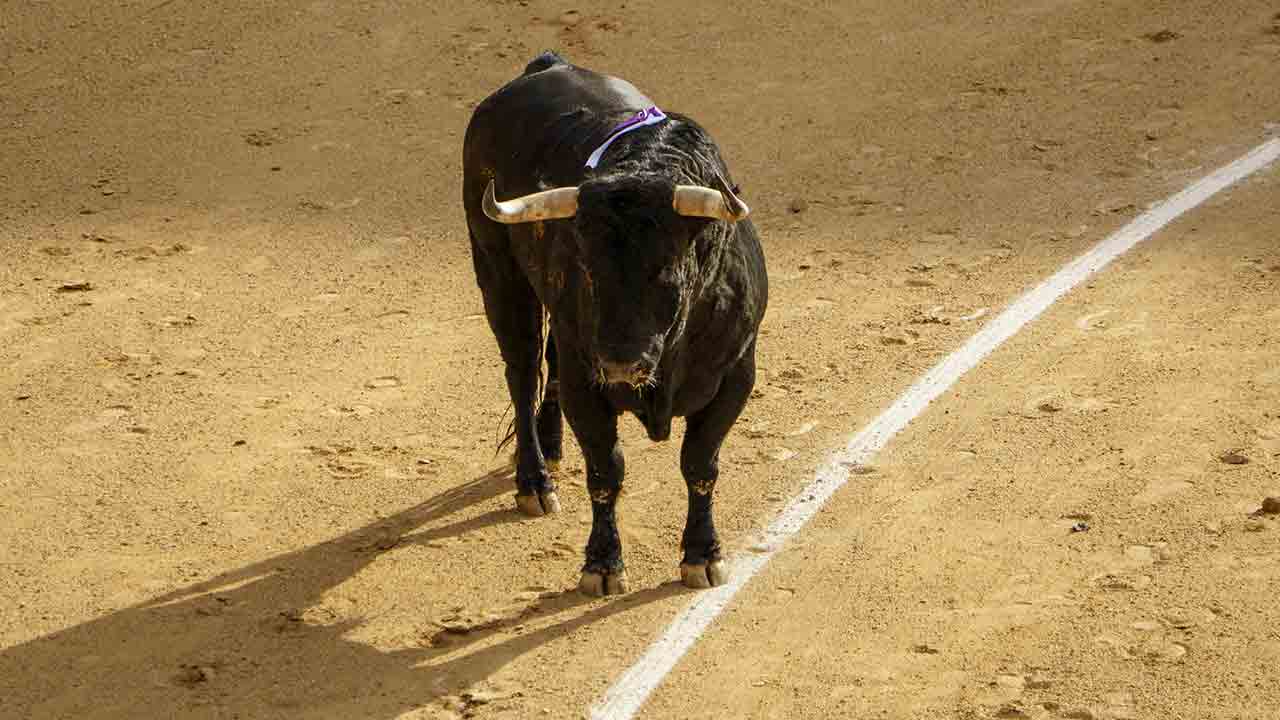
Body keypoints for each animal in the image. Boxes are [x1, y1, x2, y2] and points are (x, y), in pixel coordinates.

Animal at [465, 51, 762, 594]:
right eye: (586, 266)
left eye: (667, 268)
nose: (621, 364)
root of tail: (545, 66)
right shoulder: (588, 383)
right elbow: (606, 472)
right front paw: (602, 566)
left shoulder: (736, 374)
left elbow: (700, 464)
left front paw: (702, 556)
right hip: (498, 271)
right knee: (522, 372)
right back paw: (534, 481)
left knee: (548, 365)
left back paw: (553, 447)